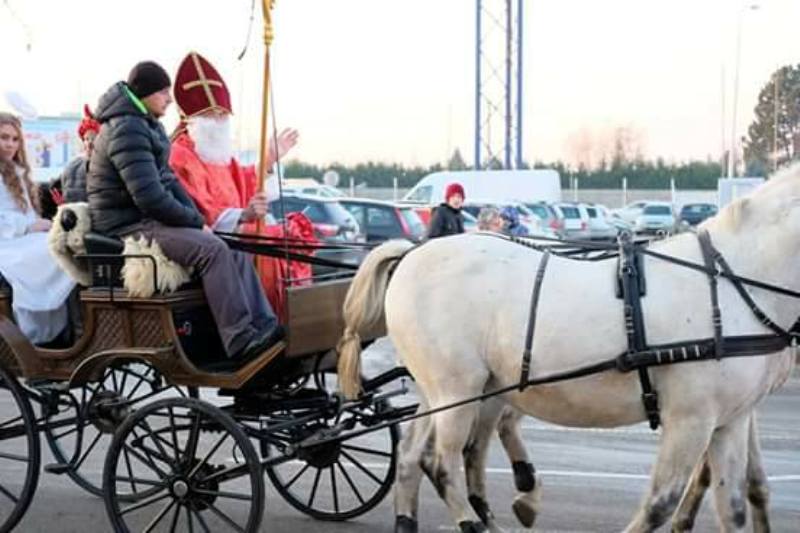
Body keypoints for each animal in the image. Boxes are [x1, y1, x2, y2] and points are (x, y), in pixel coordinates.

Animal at [334, 164, 796, 528]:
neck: (729, 281)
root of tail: (412, 254)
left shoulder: (730, 421)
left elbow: (735, 504)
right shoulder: (690, 418)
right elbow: (660, 504)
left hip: (446, 390)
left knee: (413, 456)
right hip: (457, 389)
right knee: (441, 460)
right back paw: (475, 520)